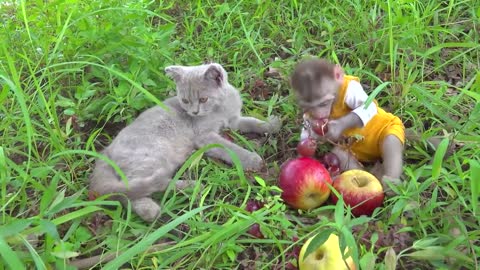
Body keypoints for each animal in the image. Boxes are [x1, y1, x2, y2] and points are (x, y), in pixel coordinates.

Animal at [89, 63, 282, 221]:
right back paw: (188, 189)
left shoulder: (234, 120)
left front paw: (272, 124)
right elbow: (230, 148)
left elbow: (251, 122)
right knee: (137, 188)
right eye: (185, 101)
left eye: (203, 99)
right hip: (154, 155)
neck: (220, 108)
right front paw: (252, 159)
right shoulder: (205, 136)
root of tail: (105, 152)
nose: (194, 112)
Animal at [288, 57, 404, 190]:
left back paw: (391, 182)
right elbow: (306, 132)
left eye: (323, 104)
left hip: (393, 126)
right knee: (341, 155)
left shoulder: (352, 90)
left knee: (391, 143)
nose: (319, 114)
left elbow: (367, 107)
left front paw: (335, 128)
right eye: (308, 107)